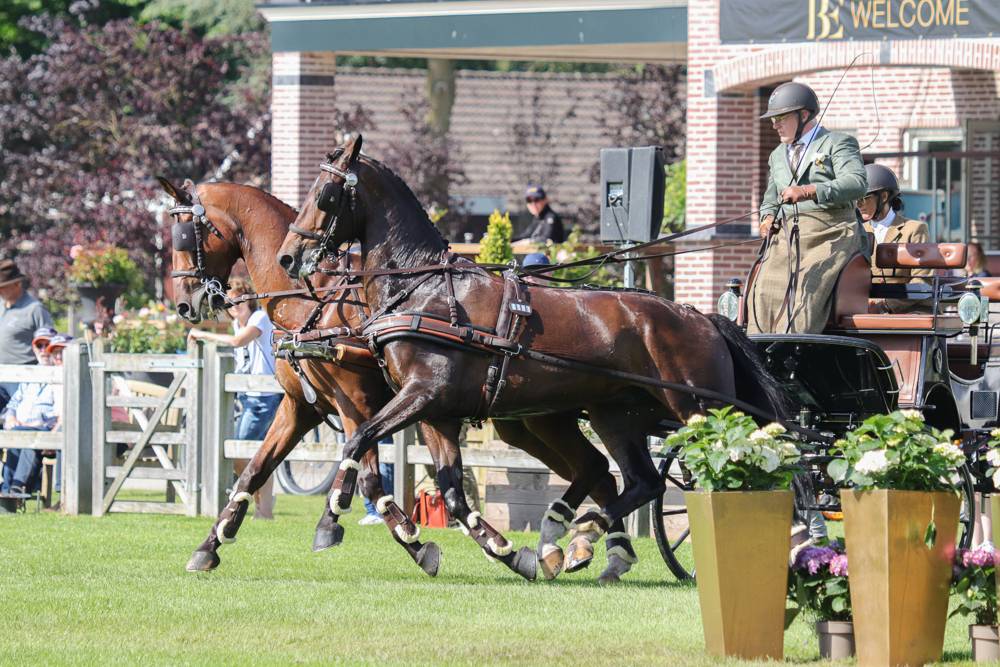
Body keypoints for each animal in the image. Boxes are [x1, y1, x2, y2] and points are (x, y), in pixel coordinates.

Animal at [164, 177, 640, 584]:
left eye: (184, 236)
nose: (185, 304)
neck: (314, 301)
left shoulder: (357, 405)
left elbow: (369, 479)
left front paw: (411, 542)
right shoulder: (301, 408)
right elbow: (254, 472)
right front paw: (210, 546)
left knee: (602, 471)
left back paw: (593, 547)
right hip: (526, 424)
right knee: (600, 473)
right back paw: (602, 552)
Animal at [276, 138, 788, 560]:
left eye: (323, 194)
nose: (288, 257)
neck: (422, 290)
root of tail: (701, 317)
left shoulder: (422, 395)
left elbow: (358, 441)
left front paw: (330, 523)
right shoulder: (436, 412)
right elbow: (449, 488)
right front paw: (501, 549)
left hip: (701, 411)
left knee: (741, 468)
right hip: (616, 416)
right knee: (640, 479)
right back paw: (577, 536)